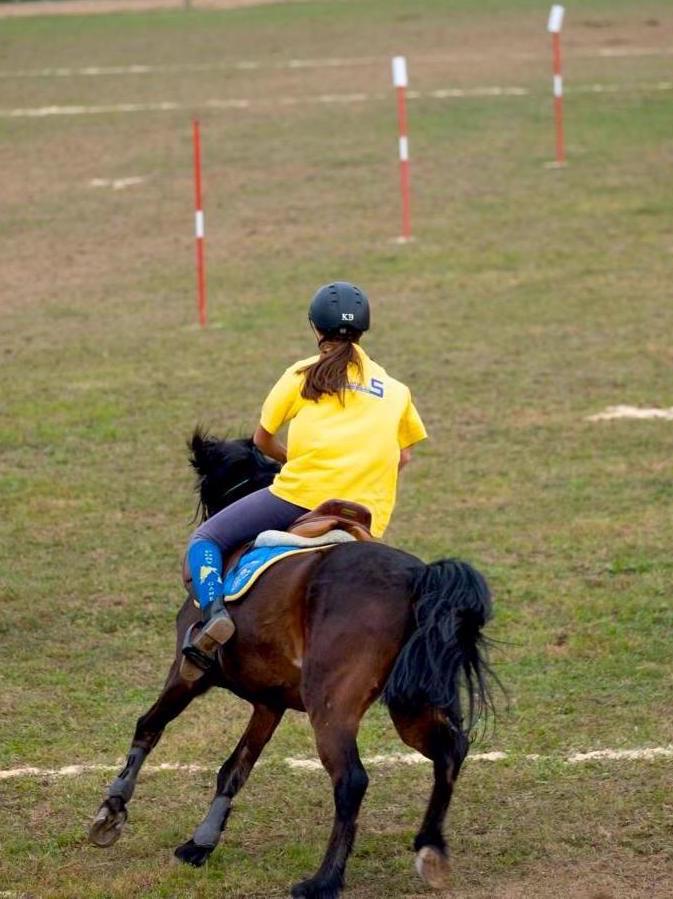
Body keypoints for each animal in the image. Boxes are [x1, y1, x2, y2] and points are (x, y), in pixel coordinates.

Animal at [88, 429, 495, 899]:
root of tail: (419, 578)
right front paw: (201, 842)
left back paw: (323, 880)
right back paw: (430, 848)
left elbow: (149, 726)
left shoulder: (186, 675)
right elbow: (234, 769)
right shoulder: (269, 704)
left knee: (352, 780)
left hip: (331, 705)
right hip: (412, 704)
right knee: (450, 750)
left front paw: (111, 810)